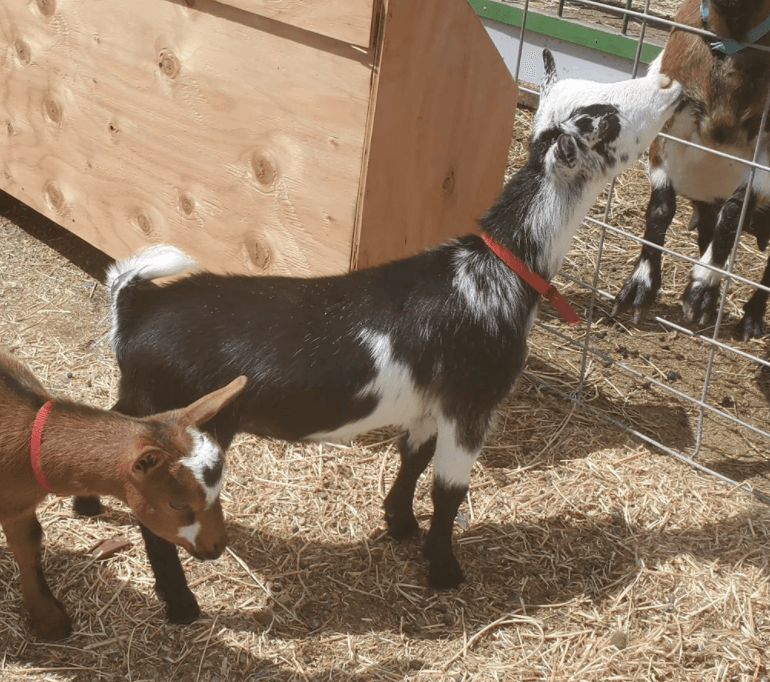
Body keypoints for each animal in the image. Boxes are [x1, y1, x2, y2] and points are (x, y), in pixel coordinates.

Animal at [75, 49, 681, 624]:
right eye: (606, 119)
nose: (671, 84)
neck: (495, 272)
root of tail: (137, 305)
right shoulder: (473, 402)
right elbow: (449, 489)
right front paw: (444, 571)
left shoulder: (431, 403)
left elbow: (412, 456)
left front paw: (399, 526)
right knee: (155, 515)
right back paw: (182, 607)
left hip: (141, 398)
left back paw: (86, 506)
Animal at [612, 0, 770, 340]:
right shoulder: (671, 119)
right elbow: (661, 208)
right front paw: (640, 287)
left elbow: (736, 212)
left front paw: (701, 289)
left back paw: (749, 319)